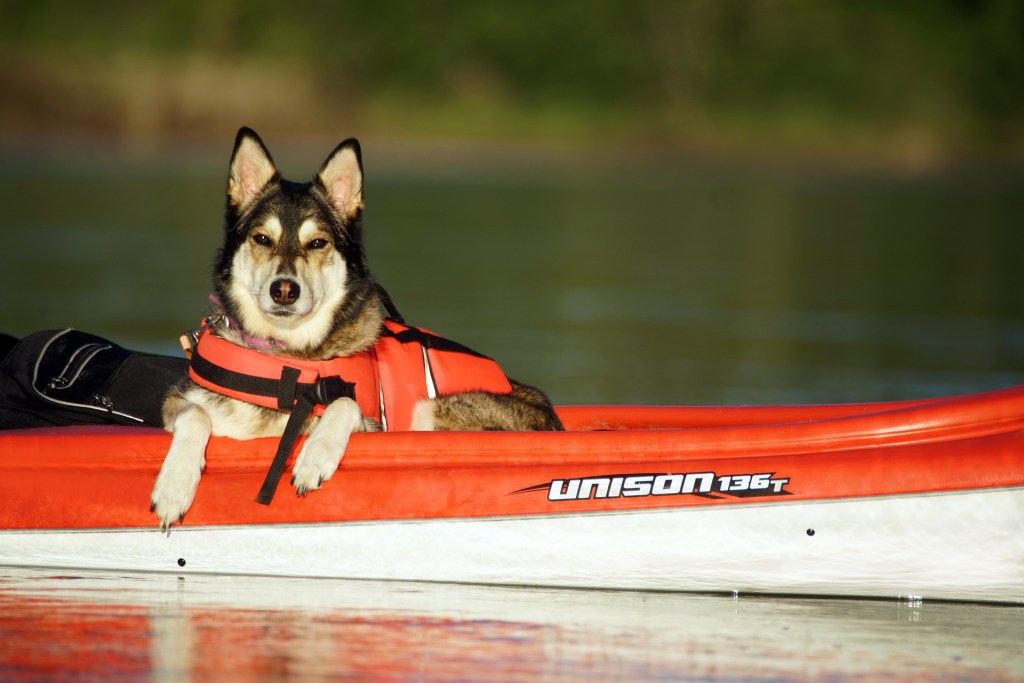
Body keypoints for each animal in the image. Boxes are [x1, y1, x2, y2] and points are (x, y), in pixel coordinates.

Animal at [149, 129, 565, 532]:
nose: (284, 290)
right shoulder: (177, 403)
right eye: (262, 239)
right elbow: (195, 415)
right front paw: (173, 487)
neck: (284, 362)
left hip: (431, 409)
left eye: (317, 243)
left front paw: (315, 457)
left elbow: (345, 403)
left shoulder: (371, 426)